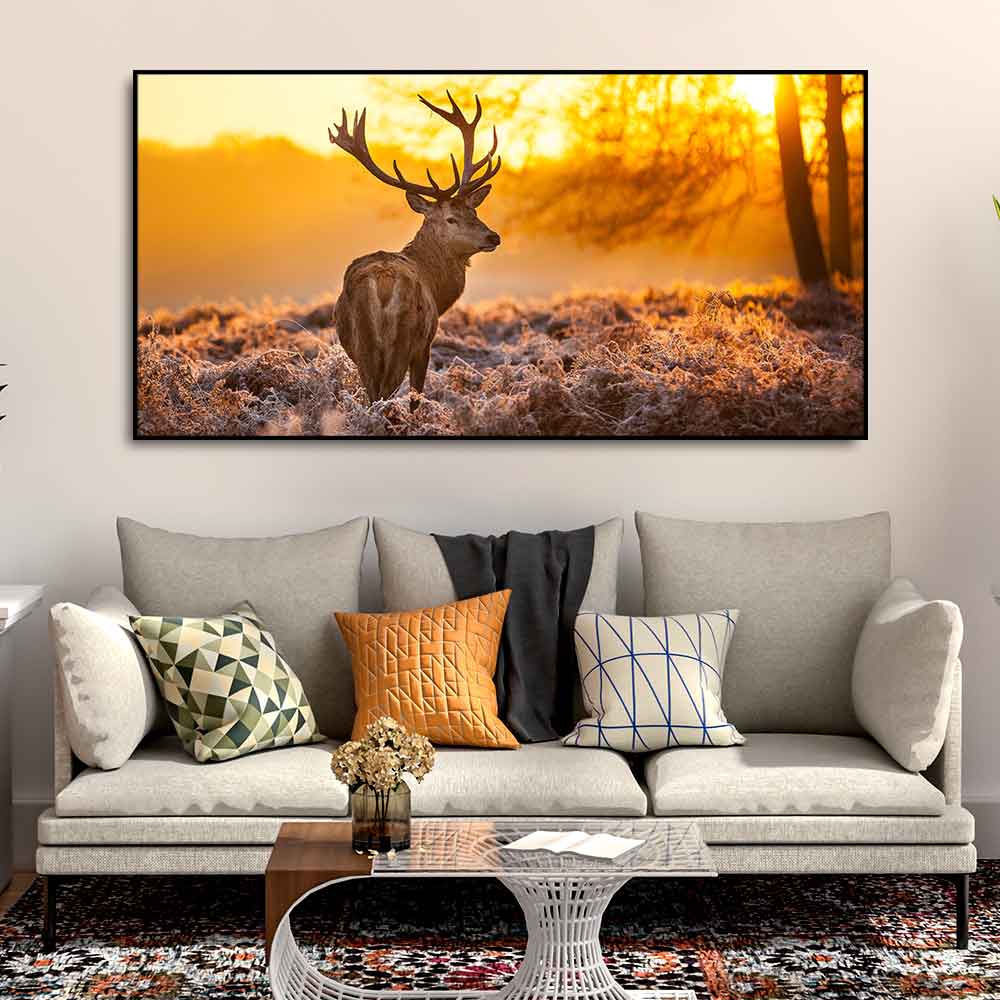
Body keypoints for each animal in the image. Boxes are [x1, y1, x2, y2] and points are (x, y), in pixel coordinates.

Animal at [328, 93, 502, 409]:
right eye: (451, 218)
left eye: (474, 210)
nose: (493, 236)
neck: (437, 287)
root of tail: (383, 282)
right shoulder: (426, 345)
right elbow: (416, 397)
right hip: (404, 339)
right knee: (385, 394)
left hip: (363, 345)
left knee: (372, 395)